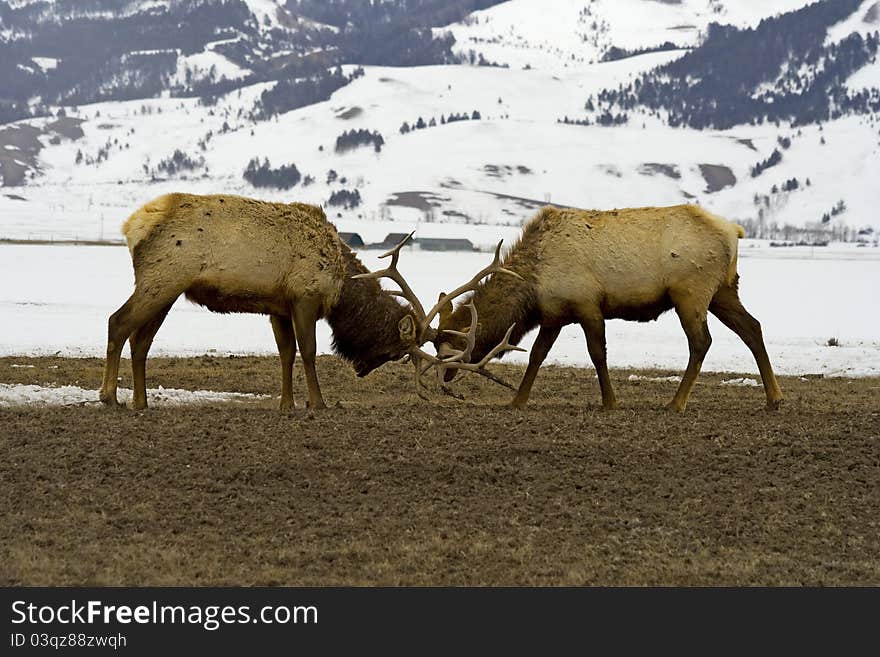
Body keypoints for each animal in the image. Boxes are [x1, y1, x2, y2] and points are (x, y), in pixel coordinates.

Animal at [99, 192, 450, 410]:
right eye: (394, 351)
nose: (361, 369)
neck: (340, 287)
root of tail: (132, 226)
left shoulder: (279, 307)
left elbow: (286, 353)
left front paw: (287, 404)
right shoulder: (304, 296)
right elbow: (308, 351)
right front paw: (317, 403)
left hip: (167, 290)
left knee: (140, 341)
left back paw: (141, 402)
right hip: (161, 281)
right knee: (118, 322)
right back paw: (110, 397)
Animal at [434, 202, 784, 412]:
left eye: (450, 346)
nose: (445, 381)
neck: (532, 287)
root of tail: (735, 232)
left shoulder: (587, 304)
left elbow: (597, 353)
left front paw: (610, 401)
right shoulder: (554, 315)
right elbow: (537, 355)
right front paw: (517, 400)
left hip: (690, 292)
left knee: (701, 342)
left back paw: (676, 403)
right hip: (723, 290)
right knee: (753, 327)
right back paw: (774, 398)